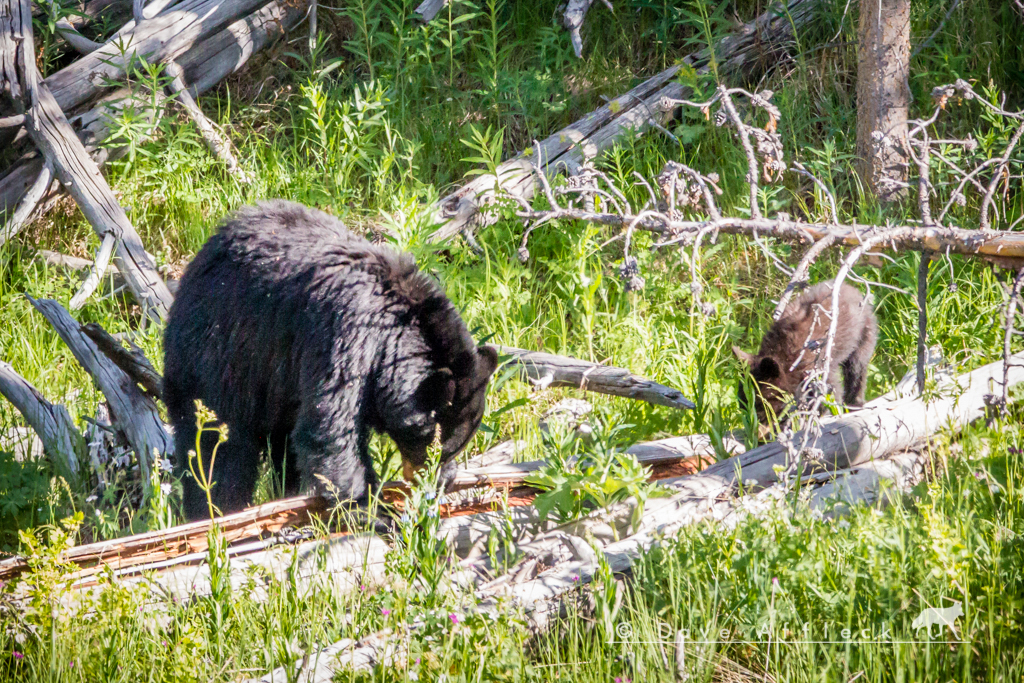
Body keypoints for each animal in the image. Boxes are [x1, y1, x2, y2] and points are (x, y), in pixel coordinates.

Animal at [164, 200, 499, 520]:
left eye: (455, 448)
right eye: (433, 446)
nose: (434, 482)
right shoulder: (345, 332)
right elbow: (330, 428)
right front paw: (369, 509)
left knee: (282, 445)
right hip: (217, 356)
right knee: (218, 446)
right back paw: (214, 511)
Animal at [733, 282, 876, 421]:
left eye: (760, 403)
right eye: (742, 403)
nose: (753, 424)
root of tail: (853, 289)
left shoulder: (817, 364)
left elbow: (829, 390)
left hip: (864, 334)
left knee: (857, 367)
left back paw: (855, 403)